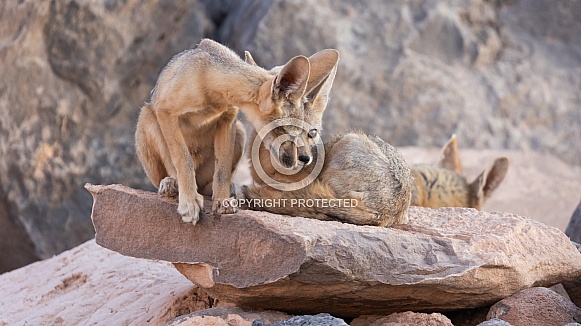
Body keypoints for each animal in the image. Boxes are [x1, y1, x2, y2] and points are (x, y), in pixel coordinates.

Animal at [134, 38, 338, 224]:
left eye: (311, 133)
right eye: (285, 130)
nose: (304, 159)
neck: (209, 84)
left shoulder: (228, 120)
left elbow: (222, 169)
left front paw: (222, 201)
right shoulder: (165, 112)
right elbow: (183, 160)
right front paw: (189, 201)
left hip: (240, 132)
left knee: (210, 183)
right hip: (147, 117)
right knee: (169, 172)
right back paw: (171, 184)